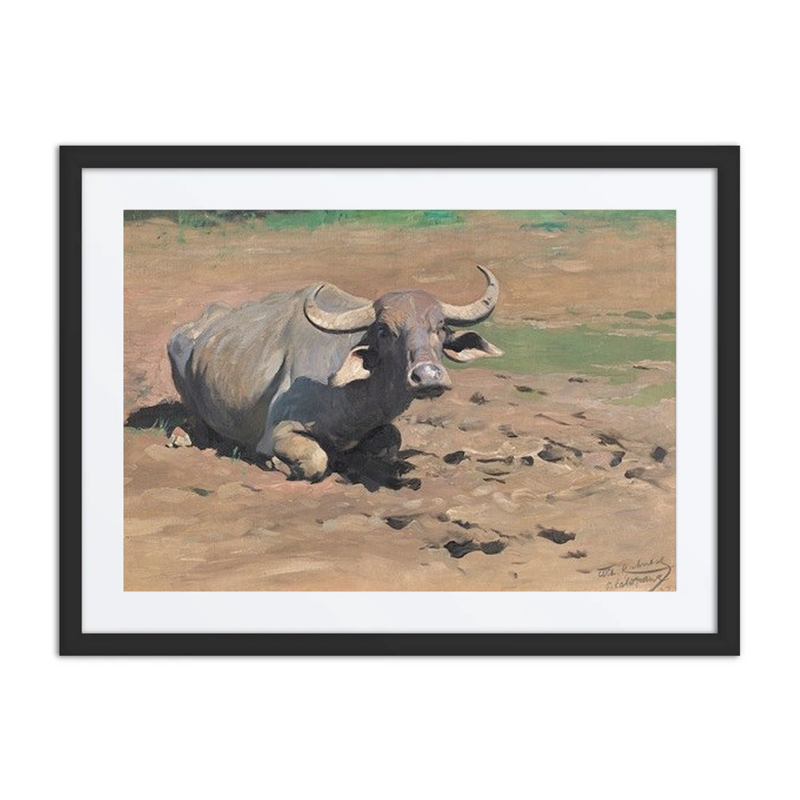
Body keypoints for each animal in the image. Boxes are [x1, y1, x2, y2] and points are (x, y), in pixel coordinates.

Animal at [167, 265, 503, 481]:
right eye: (385, 330)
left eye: (441, 327)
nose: (428, 376)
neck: (352, 398)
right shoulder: (278, 430)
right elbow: (316, 460)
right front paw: (275, 462)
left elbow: (391, 441)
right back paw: (182, 436)